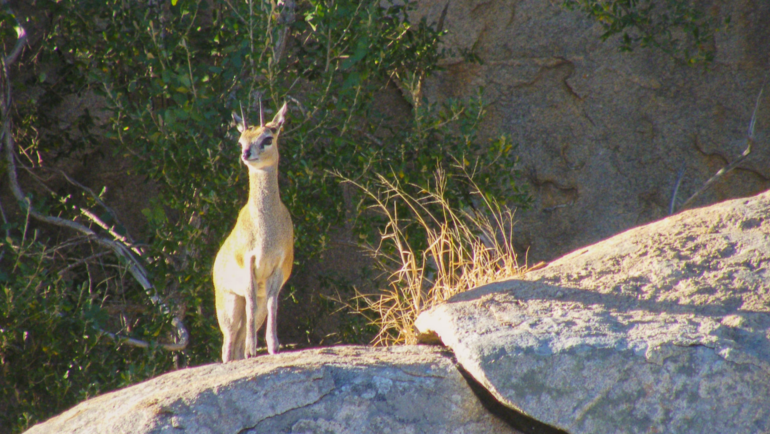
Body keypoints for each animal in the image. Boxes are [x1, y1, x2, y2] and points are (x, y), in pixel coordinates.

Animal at [213, 102, 294, 362]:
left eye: (268, 138)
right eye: (241, 141)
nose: (246, 154)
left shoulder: (278, 267)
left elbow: (272, 304)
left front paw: (273, 346)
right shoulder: (249, 262)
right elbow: (250, 301)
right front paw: (253, 347)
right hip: (228, 306)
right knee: (227, 345)